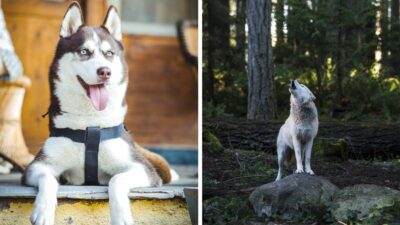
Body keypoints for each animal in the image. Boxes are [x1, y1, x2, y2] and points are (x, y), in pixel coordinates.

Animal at [21, 2, 172, 225]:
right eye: (84, 51)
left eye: (109, 53)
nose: (105, 72)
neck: (89, 124)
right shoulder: (36, 167)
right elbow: (47, 179)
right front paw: (43, 210)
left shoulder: (144, 170)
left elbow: (117, 179)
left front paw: (121, 216)